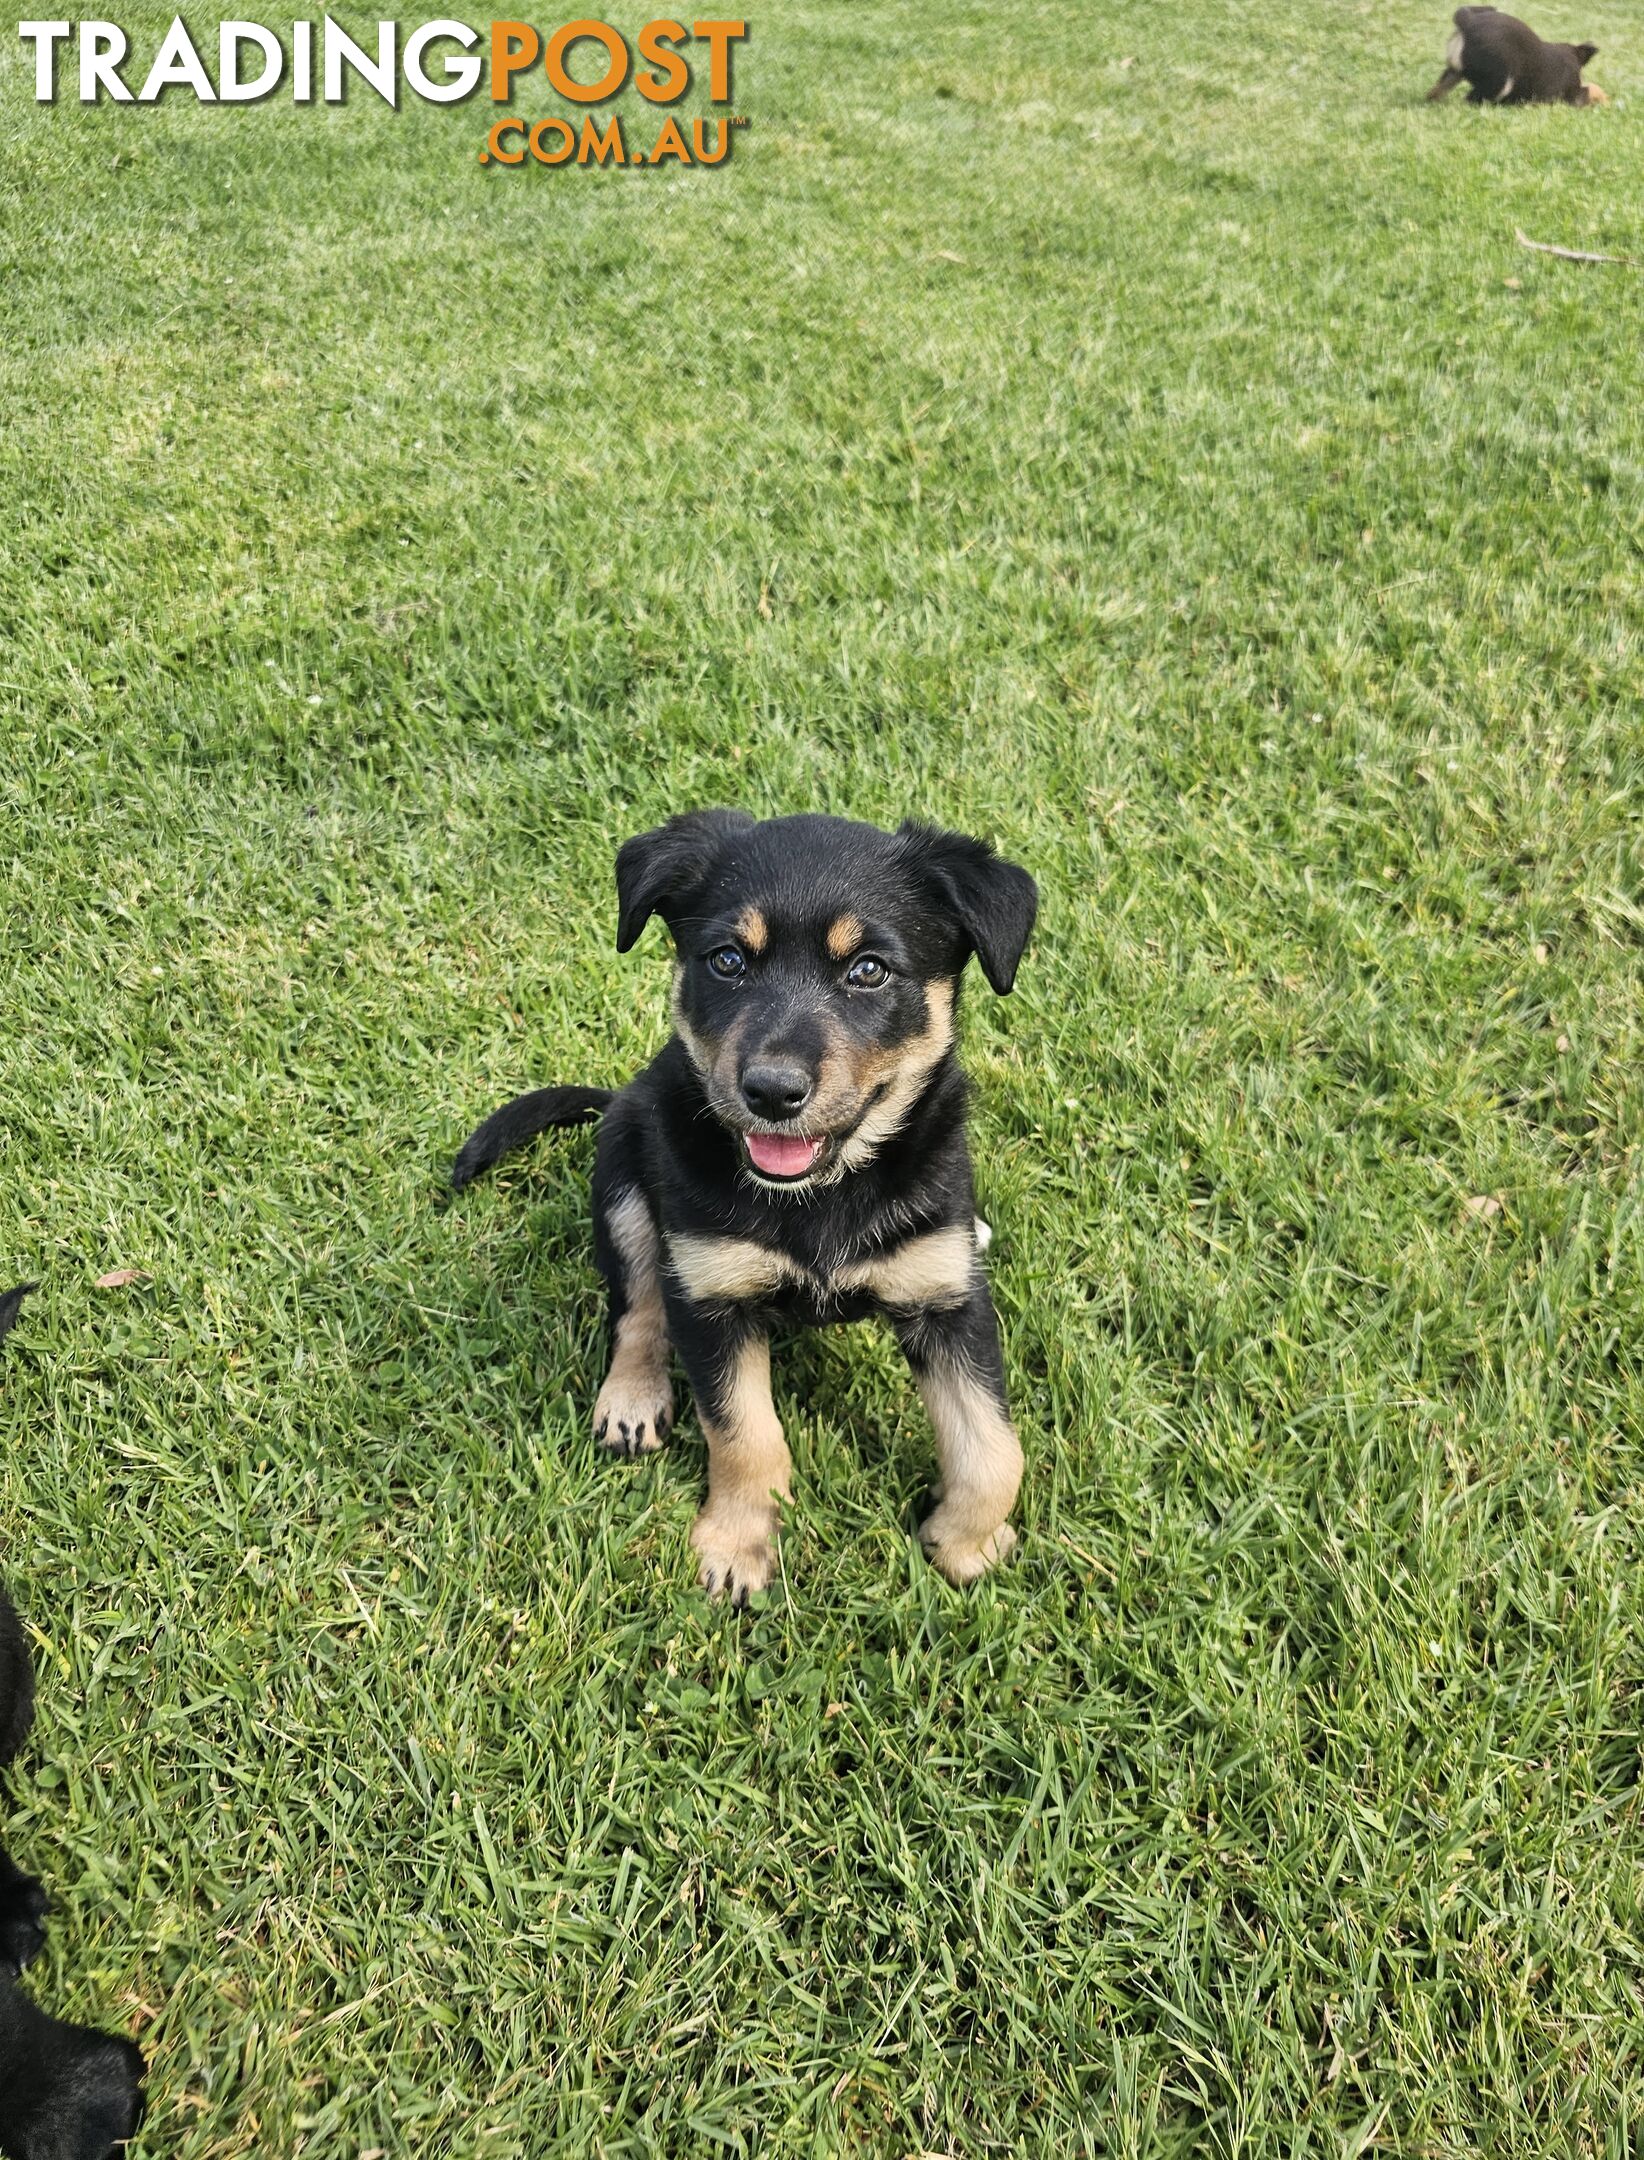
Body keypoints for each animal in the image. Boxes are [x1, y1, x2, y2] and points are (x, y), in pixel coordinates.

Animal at [455, 812, 1032, 1607]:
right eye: (728, 960)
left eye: (869, 970)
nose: (771, 1091)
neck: (821, 1196)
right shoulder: (712, 1297)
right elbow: (746, 1435)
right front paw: (737, 1545)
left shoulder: (949, 1301)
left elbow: (994, 1448)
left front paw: (966, 1545)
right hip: (625, 1181)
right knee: (637, 1306)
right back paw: (632, 1398)